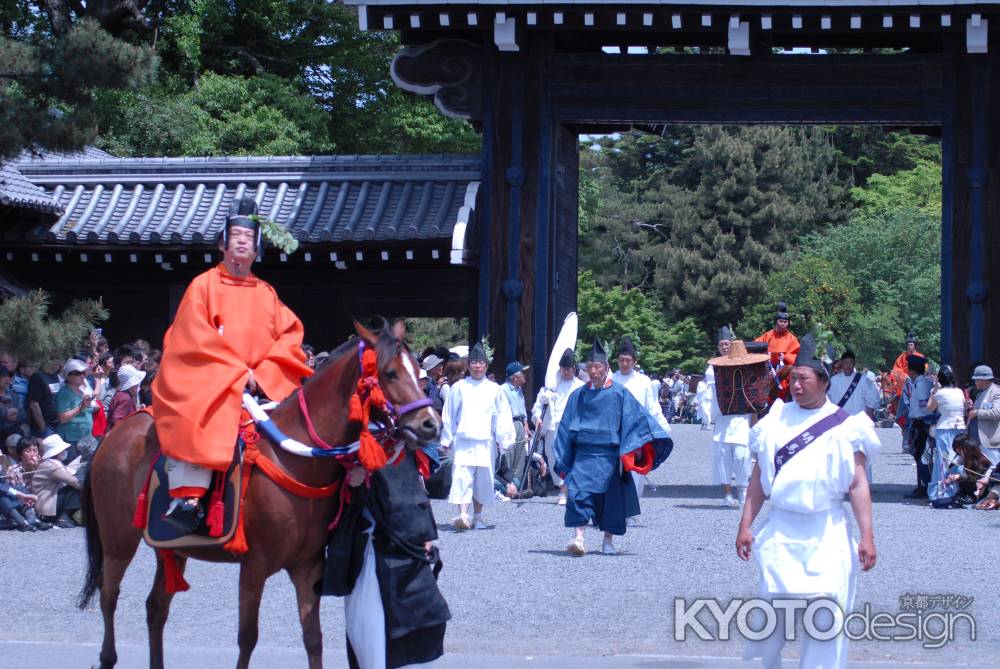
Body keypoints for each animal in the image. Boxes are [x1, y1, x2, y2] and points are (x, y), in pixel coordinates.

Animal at [78, 320, 438, 664]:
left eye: (417, 371)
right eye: (390, 372)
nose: (431, 423)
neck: (297, 459)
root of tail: (114, 434)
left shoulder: (308, 565)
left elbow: (313, 639)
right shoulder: (254, 565)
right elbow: (248, 638)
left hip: (171, 547)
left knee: (156, 607)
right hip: (118, 539)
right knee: (109, 596)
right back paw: (108, 657)